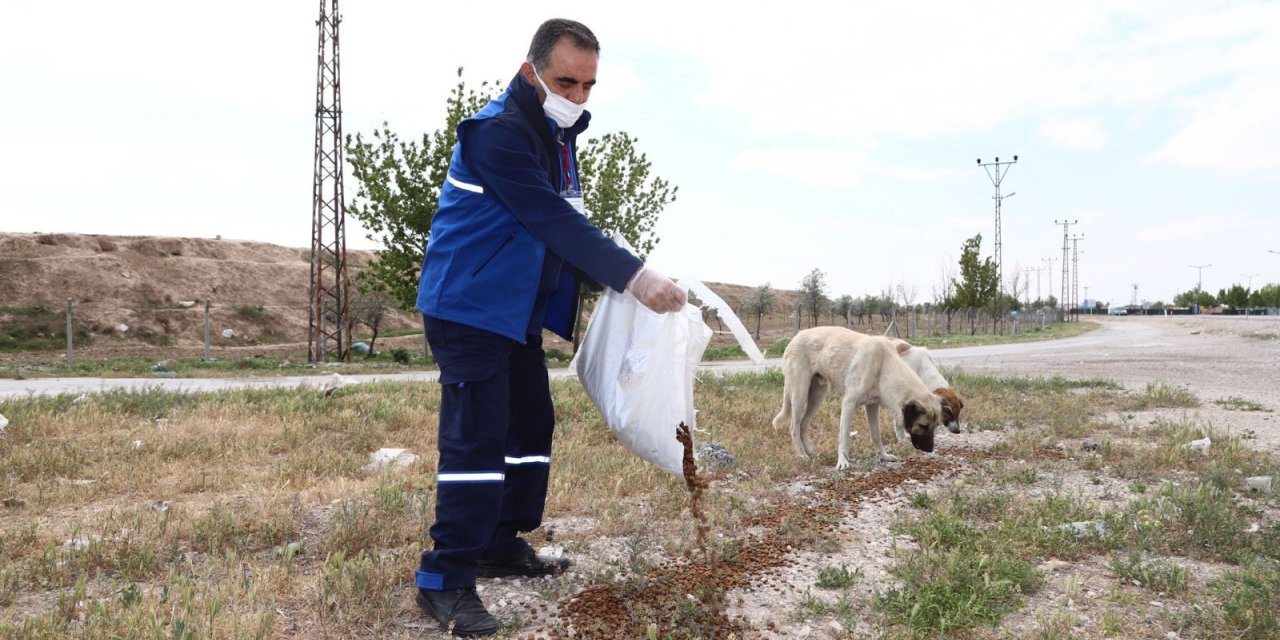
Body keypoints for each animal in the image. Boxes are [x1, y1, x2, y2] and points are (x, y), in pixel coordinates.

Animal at [768, 327, 942, 468]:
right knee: (794, 427)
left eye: (935, 426)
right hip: (800, 395)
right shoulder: (848, 404)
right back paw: (802, 455)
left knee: (803, 425)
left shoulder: (872, 406)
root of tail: (795, 337)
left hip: (817, 395)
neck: (883, 366)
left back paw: (810, 452)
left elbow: (876, 435)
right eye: (924, 425)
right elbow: (844, 437)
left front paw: (883, 456)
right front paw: (842, 462)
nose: (930, 450)